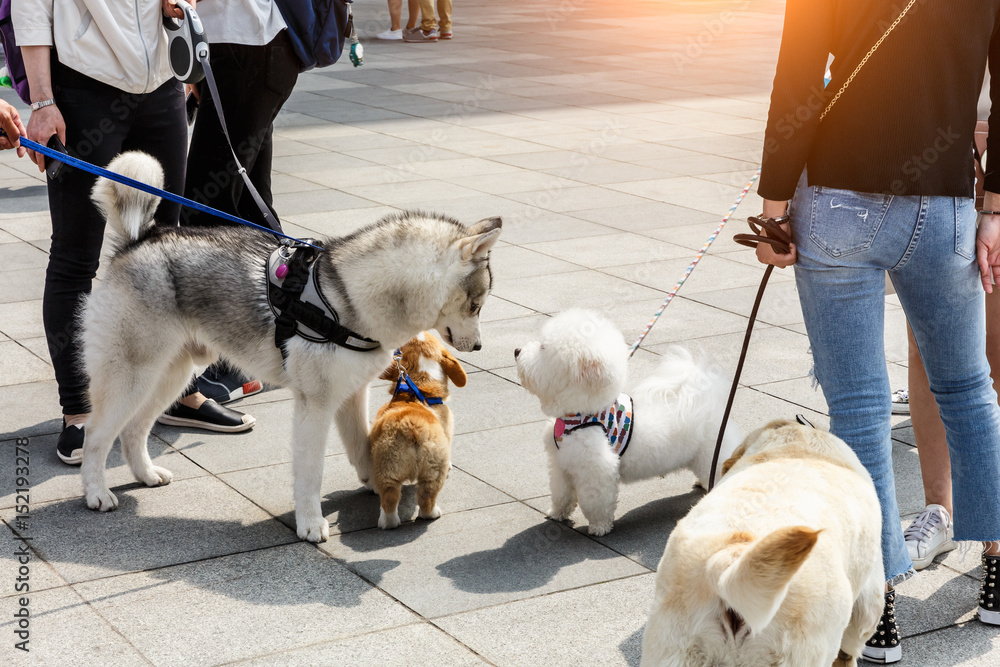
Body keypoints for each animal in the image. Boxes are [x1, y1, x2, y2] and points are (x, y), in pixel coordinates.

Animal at [370, 332, 466, 528]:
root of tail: (411, 426)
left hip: (389, 469)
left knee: (394, 496)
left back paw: (389, 522)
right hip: (432, 469)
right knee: (423, 497)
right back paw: (430, 514)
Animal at [516, 310, 744, 536]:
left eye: (543, 347)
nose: (517, 351)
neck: (580, 414)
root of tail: (705, 397)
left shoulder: (596, 470)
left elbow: (596, 503)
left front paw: (599, 527)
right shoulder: (560, 464)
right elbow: (561, 493)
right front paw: (558, 513)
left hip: (712, 450)